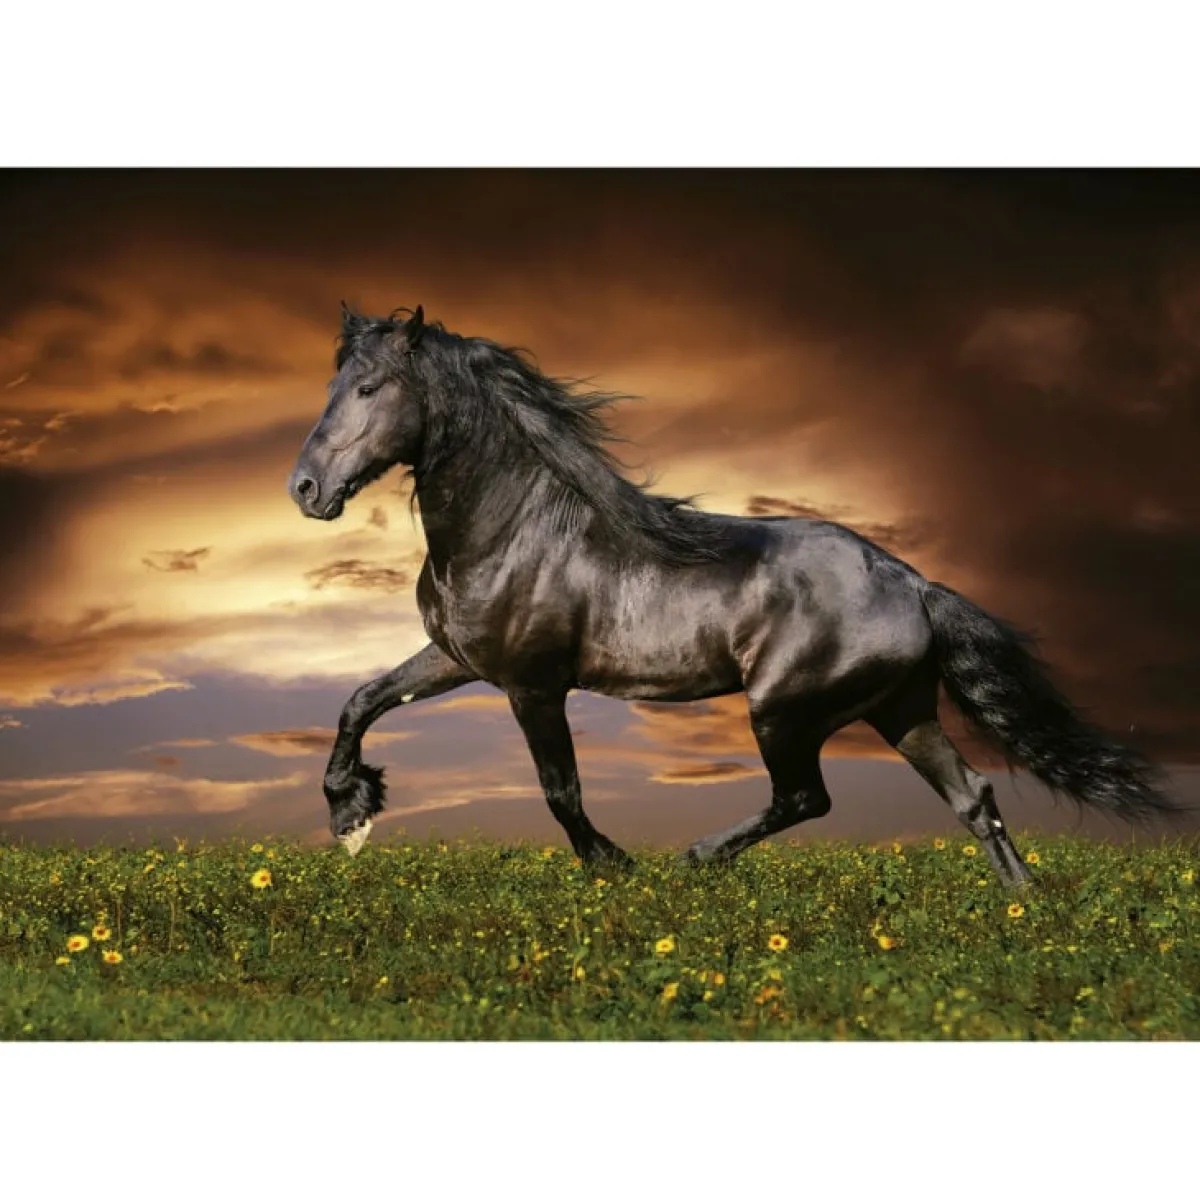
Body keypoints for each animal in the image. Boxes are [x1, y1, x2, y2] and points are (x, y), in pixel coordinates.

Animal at [287, 303, 1176, 886]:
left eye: (369, 389)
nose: (304, 489)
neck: (514, 528)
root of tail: (914, 584)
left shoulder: (532, 684)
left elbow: (560, 790)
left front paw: (615, 866)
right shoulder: (457, 658)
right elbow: (361, 701)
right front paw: (350, 814)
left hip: (784, 709)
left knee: (807, 797)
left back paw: (698, 857)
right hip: (902, 709)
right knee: (974, 797)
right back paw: (1022, 908)